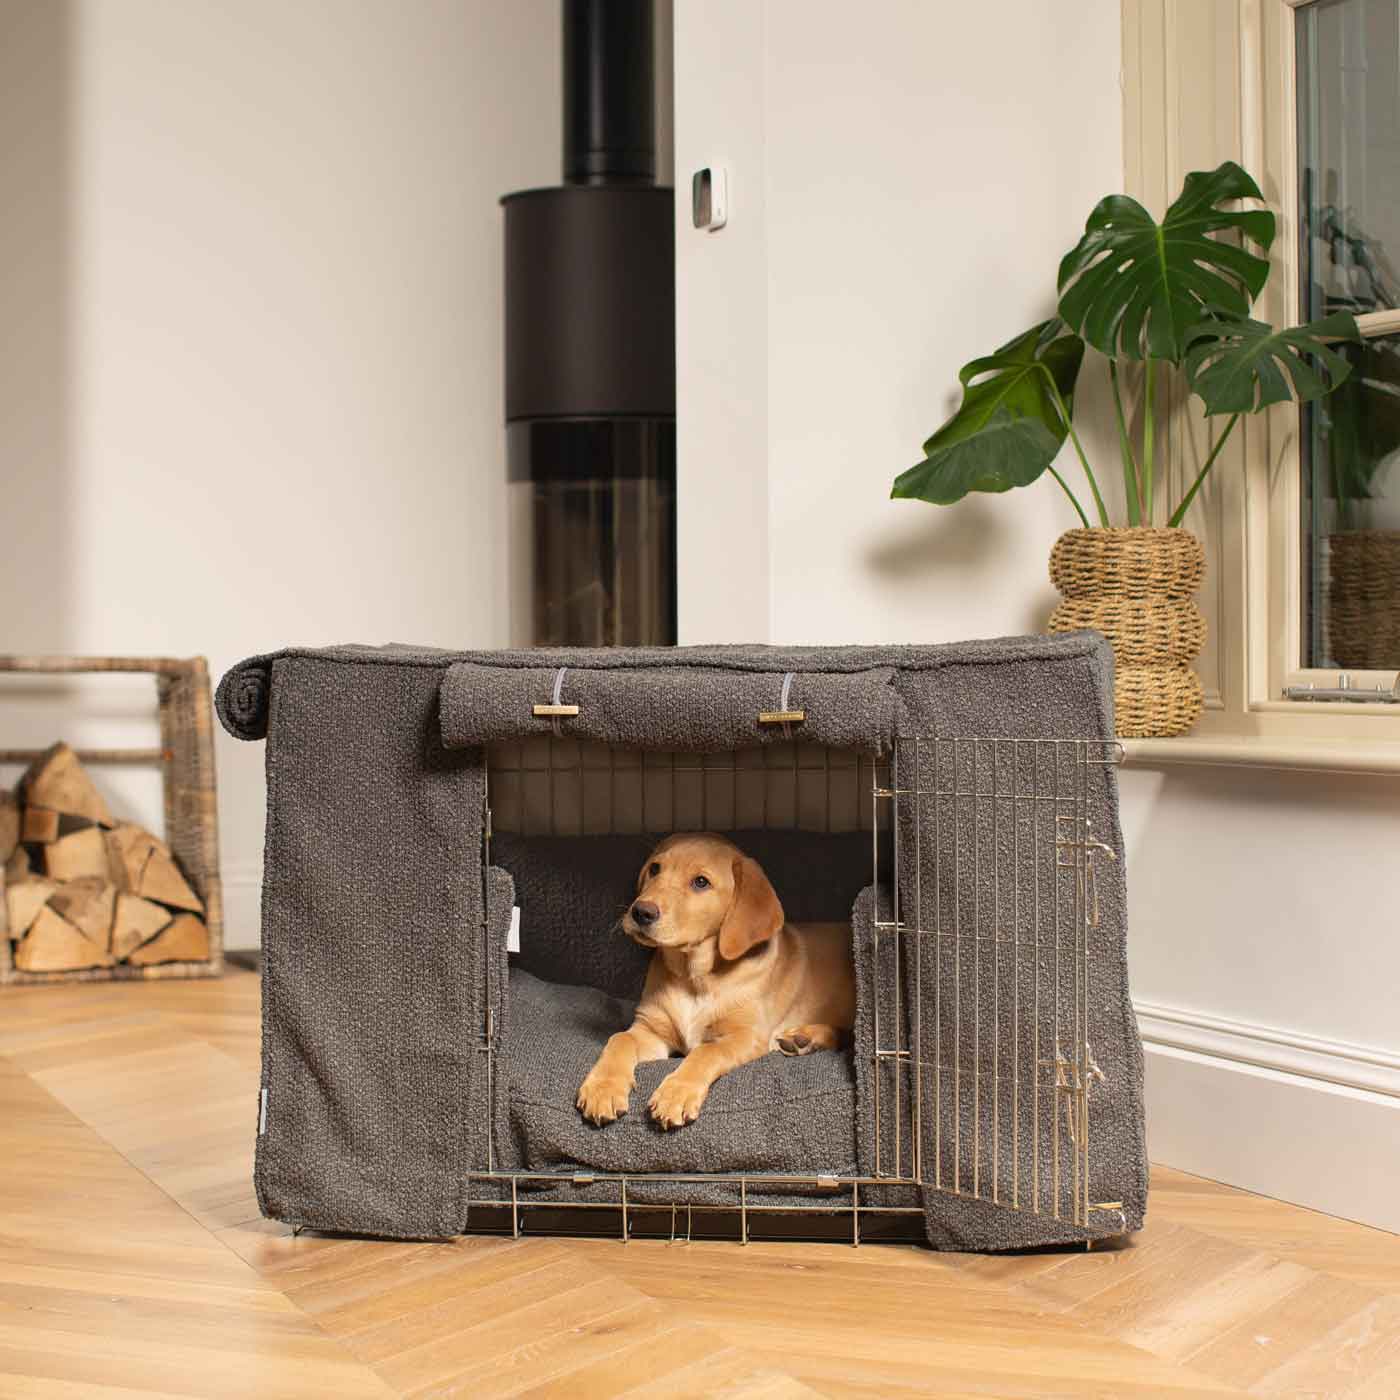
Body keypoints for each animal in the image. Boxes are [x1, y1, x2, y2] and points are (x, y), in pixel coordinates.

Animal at [576, 832, 856, 1129]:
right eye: (655, 869)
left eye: (701, 882)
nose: (641, 911)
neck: (693, 978)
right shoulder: (650, 1030)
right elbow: (619, 1039)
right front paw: (603, 1088)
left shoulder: (746, 1036)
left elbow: (706, 1052)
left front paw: (676, 1093)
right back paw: (803, 1039)